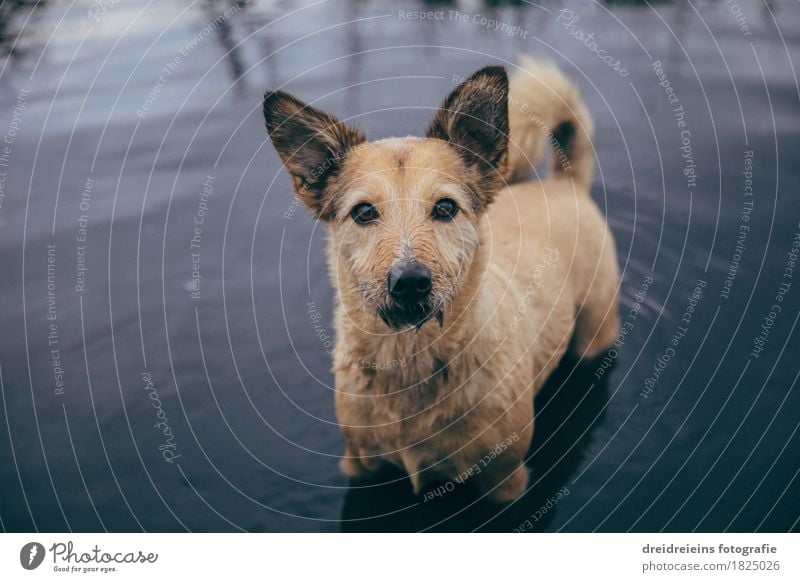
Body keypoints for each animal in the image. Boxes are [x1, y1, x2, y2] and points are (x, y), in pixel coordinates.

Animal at [262, 57, 620, 504]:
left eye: (445, 207)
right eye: (364, 212)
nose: (410, 281)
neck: (410, 363)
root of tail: (563, 184)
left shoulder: (505, 480)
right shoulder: (360, 463)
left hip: (595, 331)